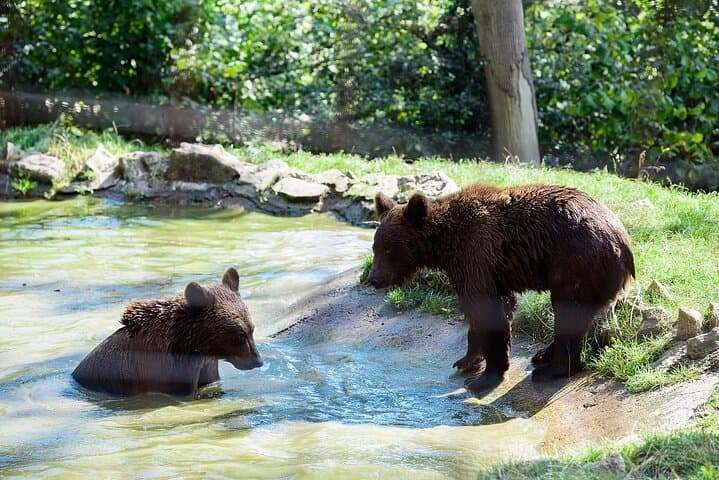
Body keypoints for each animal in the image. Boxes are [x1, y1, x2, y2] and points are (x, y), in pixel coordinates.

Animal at [368, 183, 635, 396]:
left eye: (390, 248)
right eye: (376, 246)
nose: (374, 278)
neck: (446, 245)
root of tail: (624, 243)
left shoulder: (477, 255)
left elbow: (487, 310)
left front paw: (485, 377)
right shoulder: (485, 270)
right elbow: (491, 310)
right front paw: (466, 360)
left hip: (574, 262)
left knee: (568, 311)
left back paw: (551, 368)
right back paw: (543, 355)